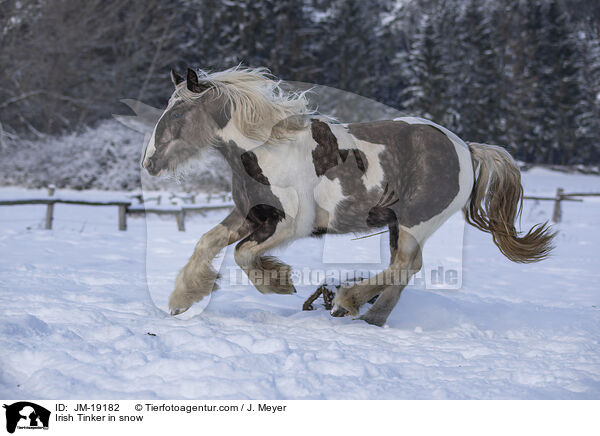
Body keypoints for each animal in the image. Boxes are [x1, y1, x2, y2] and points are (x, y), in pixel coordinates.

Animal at [143, 67, 556, 328]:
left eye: (177, 113)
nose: (149, 162)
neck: (265, 148)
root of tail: (466, 149)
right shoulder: (252, 214)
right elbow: (207, 242)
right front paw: (182, 299)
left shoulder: (291, 223)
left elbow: (244, 254)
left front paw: (279, 281)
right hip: (398, 225)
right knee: (407, 268)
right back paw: (370, 316)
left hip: (415, 221)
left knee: (403, 265)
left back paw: (347, 300)